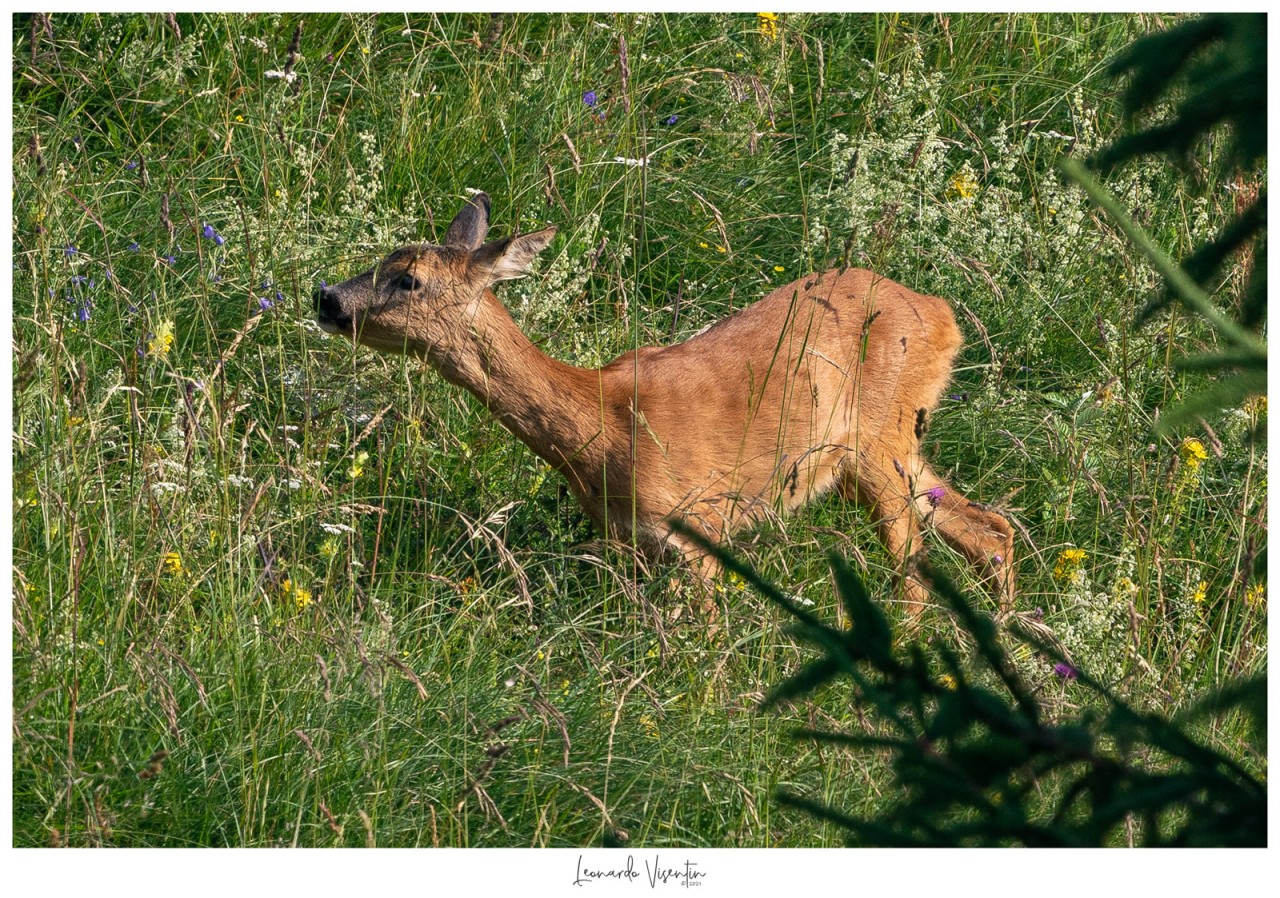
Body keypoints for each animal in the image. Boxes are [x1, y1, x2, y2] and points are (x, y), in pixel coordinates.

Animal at [314, 193, 1013, 616]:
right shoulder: (628, 543)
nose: (326, 297)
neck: (601, 429)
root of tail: (944, 315)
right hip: (881, 449)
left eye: (408, 279)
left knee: (914, 565)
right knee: (990, 528)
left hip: (878, 438)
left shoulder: (698, 526)